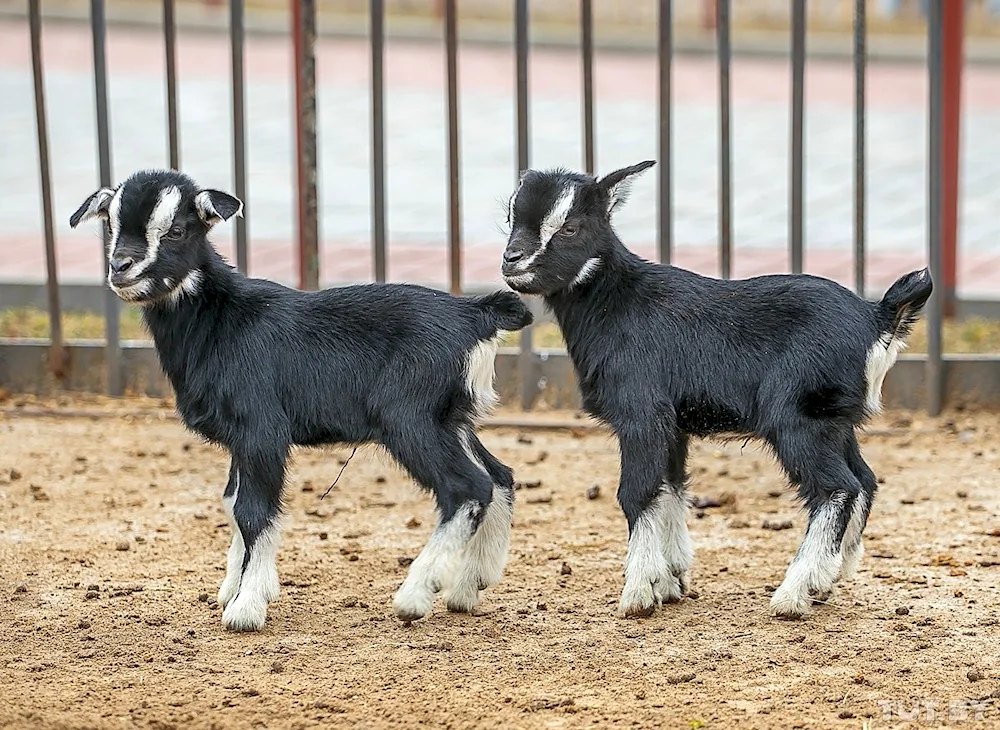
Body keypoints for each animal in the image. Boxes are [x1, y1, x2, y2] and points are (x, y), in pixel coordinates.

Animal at [71, 168, 536, 628]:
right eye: (111, 225)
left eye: (177, 230)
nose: (121, 267)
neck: (220, 320)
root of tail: (476, 316)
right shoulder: (241, 440)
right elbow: (231, 504)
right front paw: (235, 588)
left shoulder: (262, 429)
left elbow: (253, 511)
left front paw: (246, 607)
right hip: (451, 418)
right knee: (499, 476)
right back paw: (470, 586)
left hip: (410, 417)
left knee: (467, 486)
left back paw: (415, 596)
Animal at [504, 162, 932, 616]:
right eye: (511, 216)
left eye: (570, 227)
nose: (512, 259)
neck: (617, 303)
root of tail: (878, 318)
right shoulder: (673, 425)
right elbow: (670, 488)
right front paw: (670, 580)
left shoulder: (642, 413)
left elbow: (637, 492)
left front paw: (638, 592)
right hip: (835, 420)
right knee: (865, 479)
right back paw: (829, 576)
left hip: (799, 416)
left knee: (838, 487)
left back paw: (793, 593)